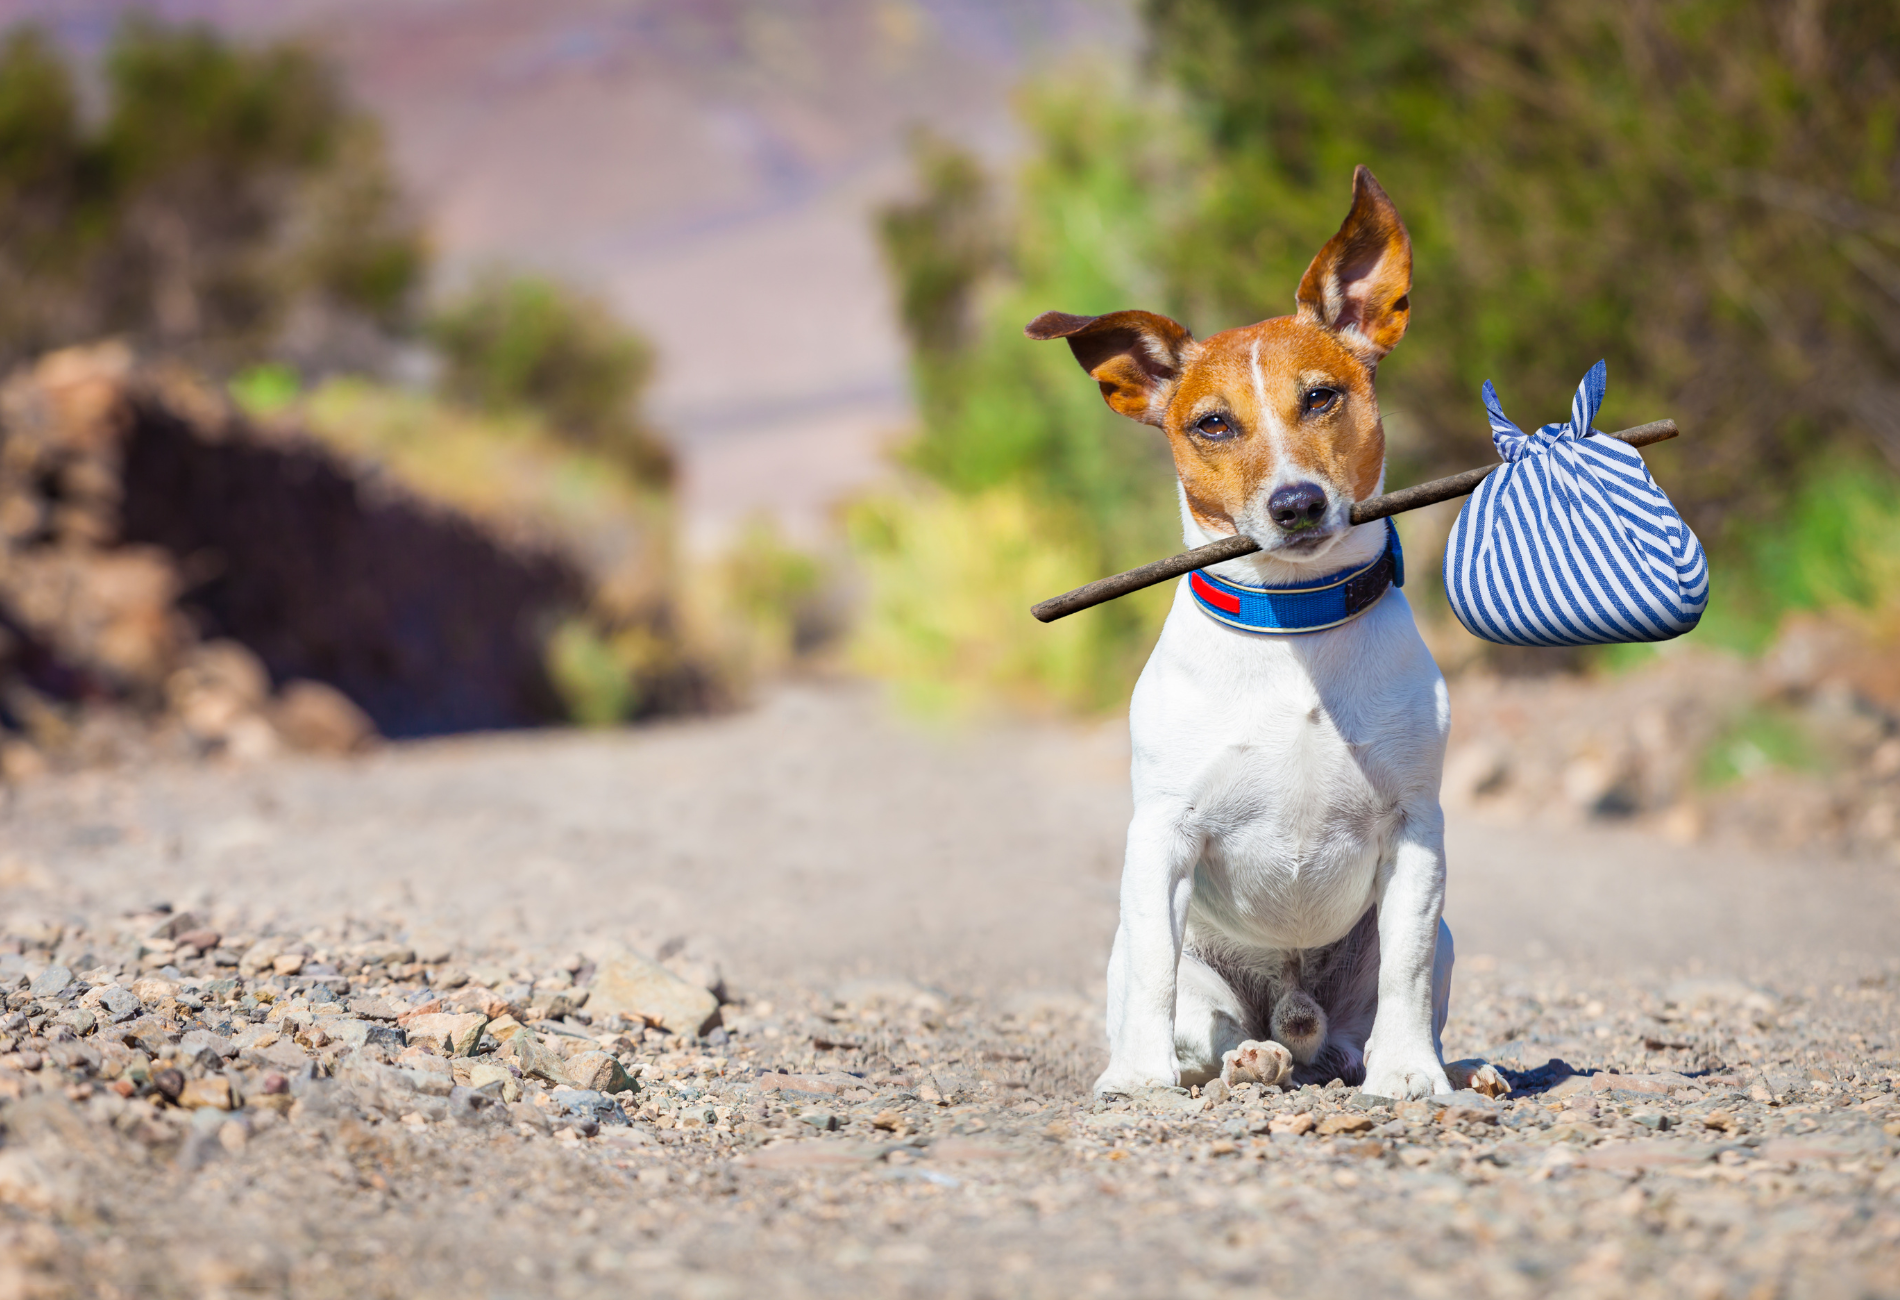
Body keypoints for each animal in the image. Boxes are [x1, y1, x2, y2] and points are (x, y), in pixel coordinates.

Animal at [1041, 162, 1497, 1094]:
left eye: (1321, 397)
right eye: (1212, 423)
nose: (1296, 504)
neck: (1295, 625)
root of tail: (1296, 1016)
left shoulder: (1416, 831)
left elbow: (1403, 969)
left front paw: (1414, 1076)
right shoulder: (1161, 836)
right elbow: (1156, 972)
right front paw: (1136, 1081)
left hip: (1430, 943)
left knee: (1365, 1024)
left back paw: (1441, 1064)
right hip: (1171, 964)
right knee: (1203, 1028)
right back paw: (1245, 1058)